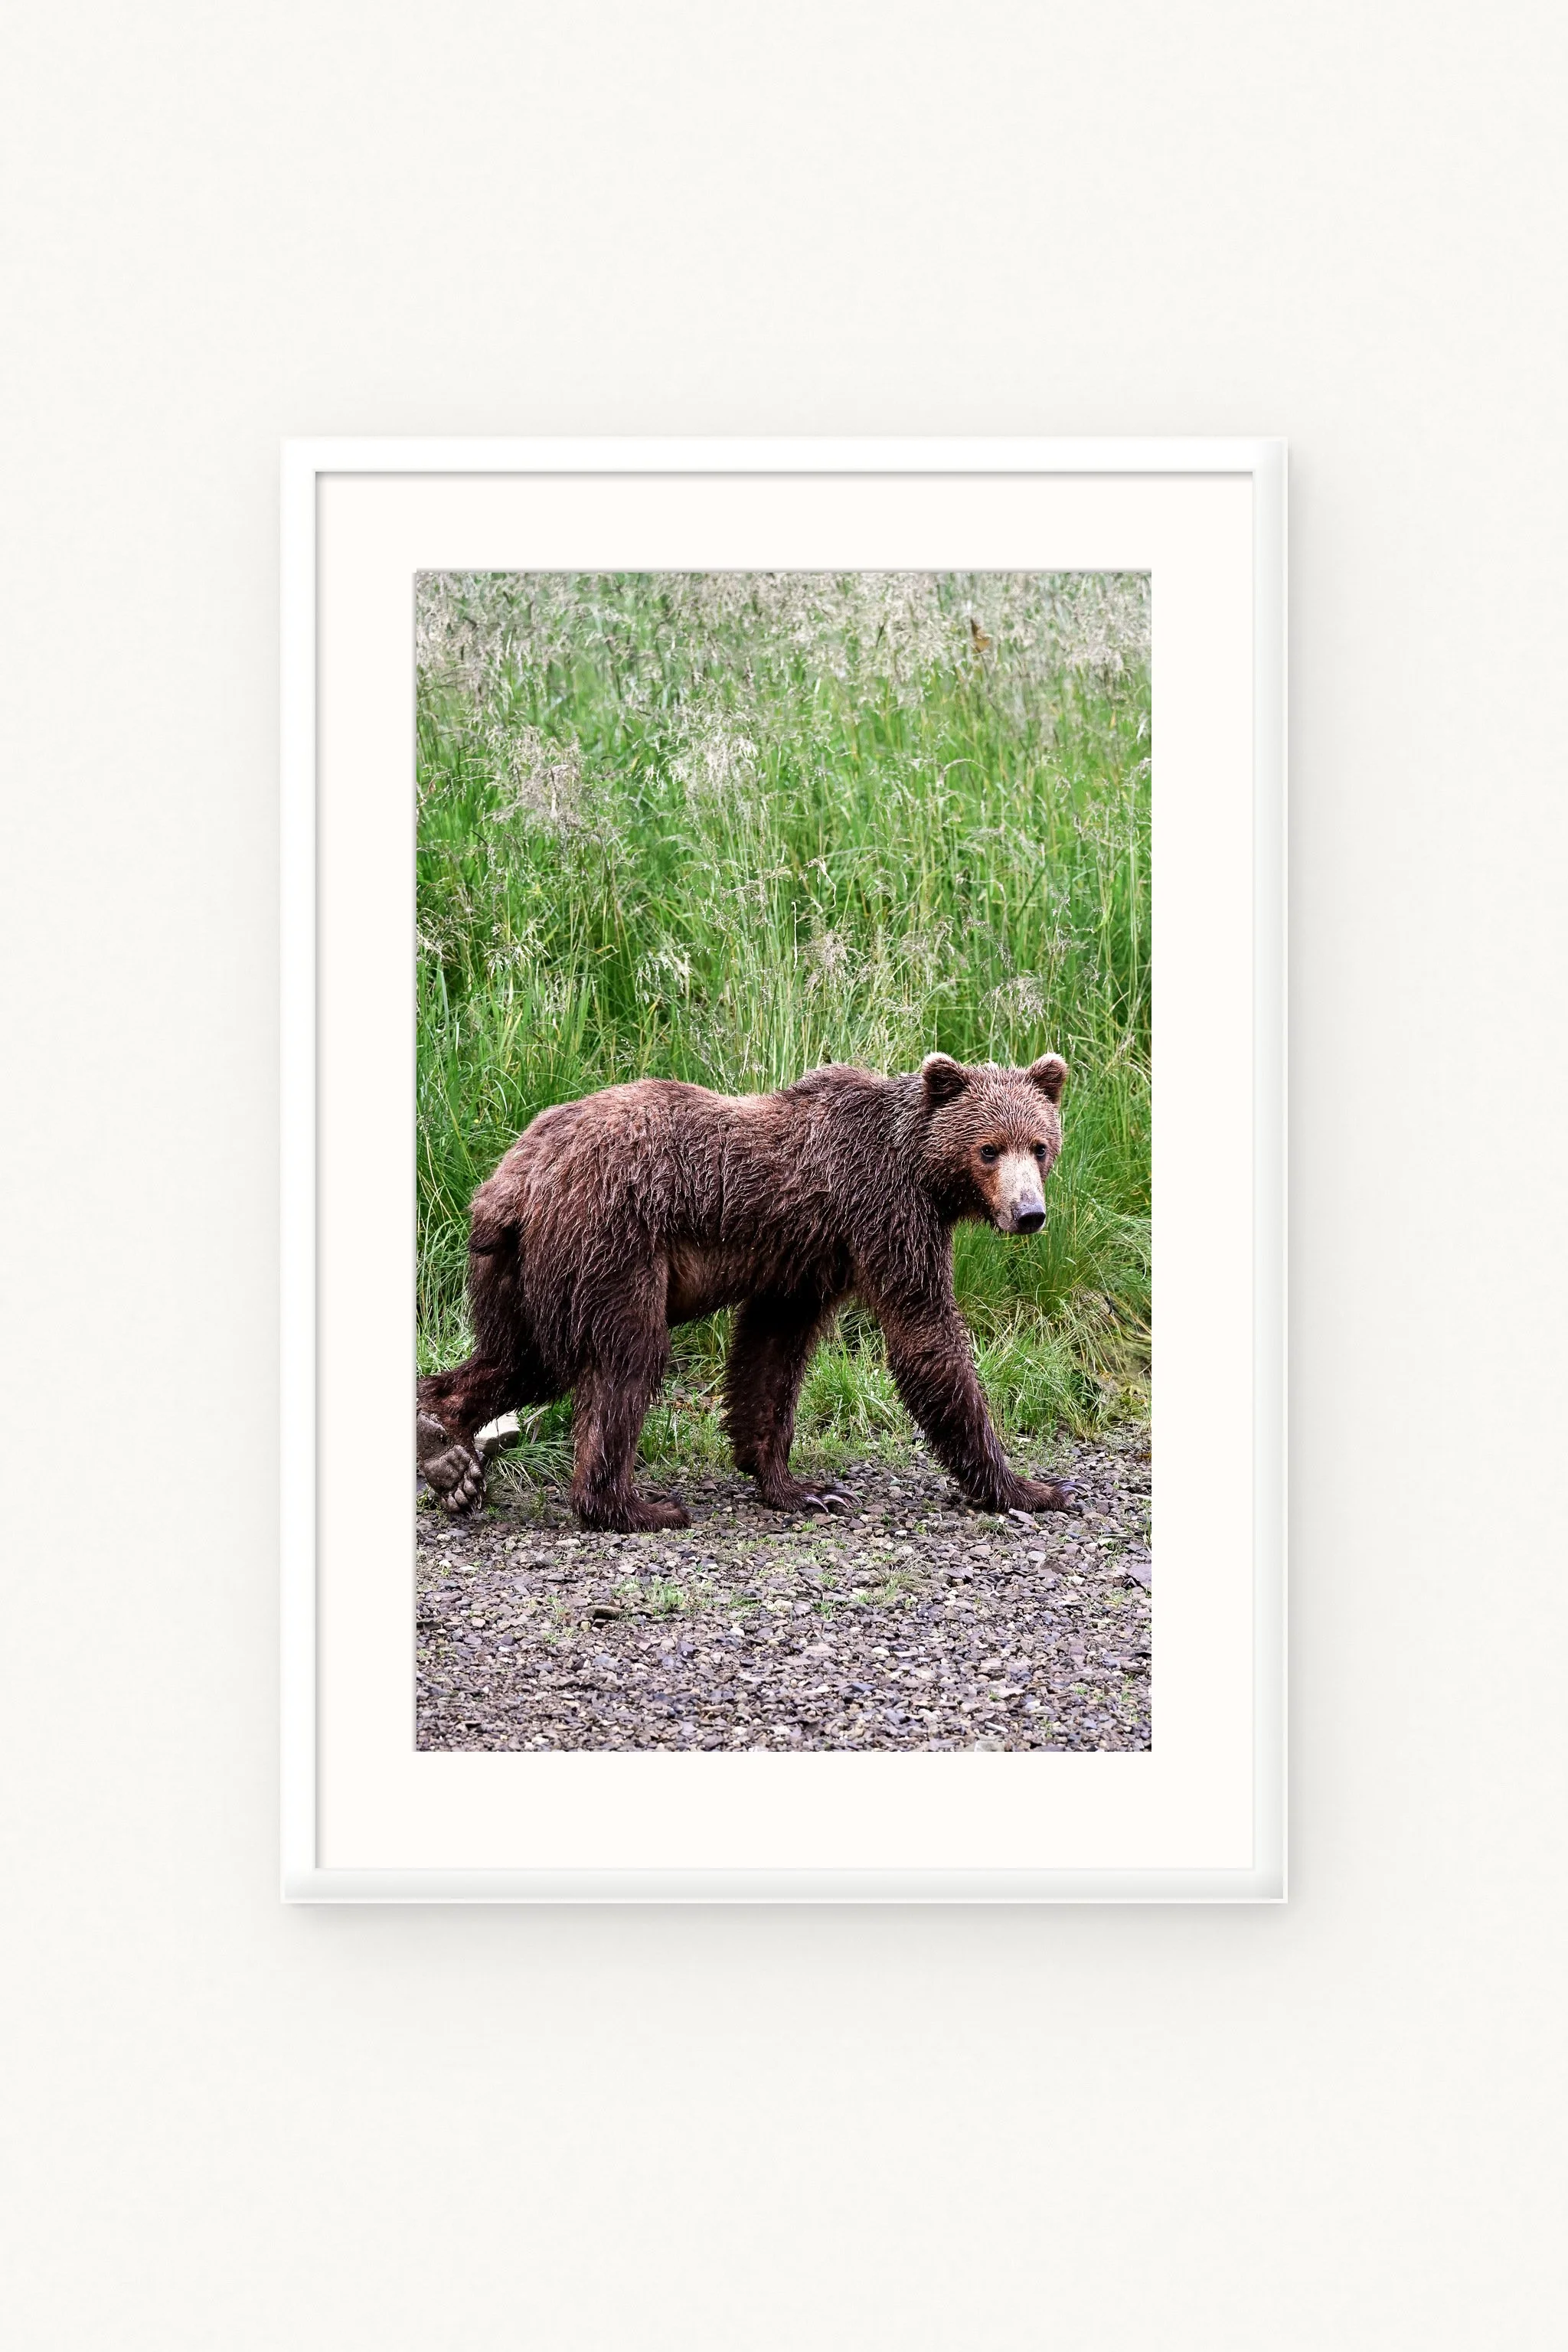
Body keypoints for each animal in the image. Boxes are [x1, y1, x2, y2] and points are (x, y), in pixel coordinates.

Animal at [417, 1050, 1075, 1534]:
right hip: (609, 1246)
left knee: (520, 1360)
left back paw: (446, 1449)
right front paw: (1031, 1487)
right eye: (989, 1148)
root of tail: (512, 1181)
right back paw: (636, 1506)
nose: (1030, 1213)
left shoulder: (804, 1263)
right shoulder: (886, 1213)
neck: (922, 1170)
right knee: (624, 1361)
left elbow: (770, 1357)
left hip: (522, 1273)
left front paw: (801, 1487)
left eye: (1040, 1146)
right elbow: (926, 1335)